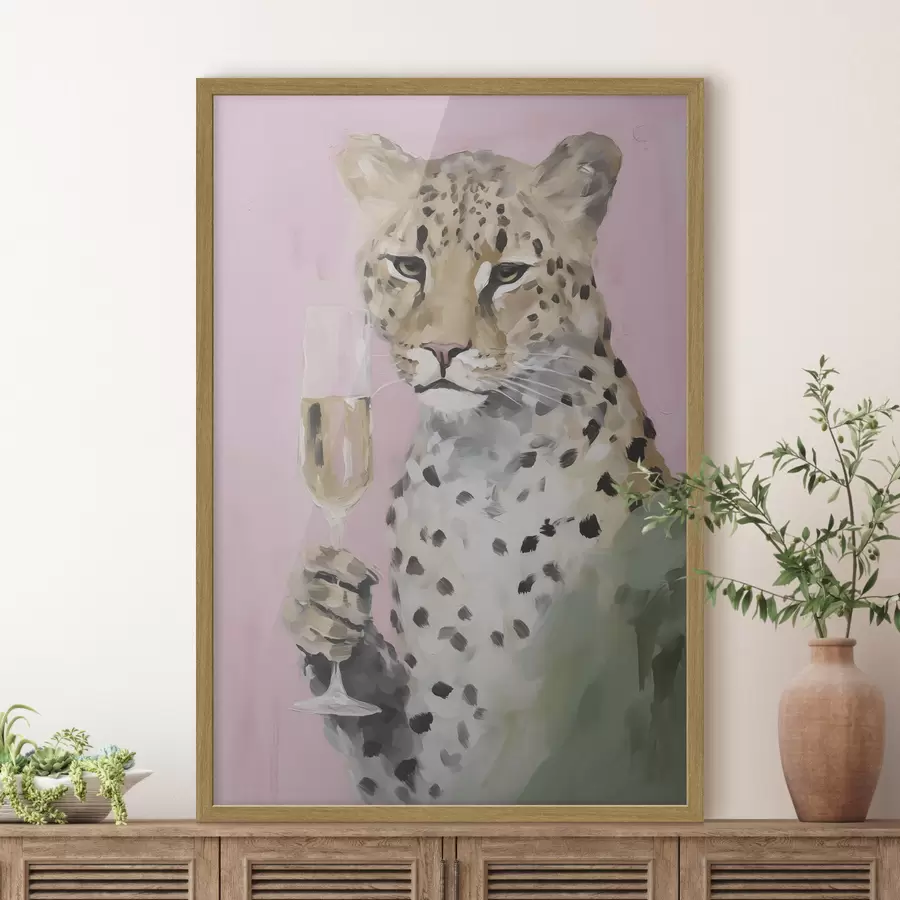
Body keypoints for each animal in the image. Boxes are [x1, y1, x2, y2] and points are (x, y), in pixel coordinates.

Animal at [281, 132, 687, 805]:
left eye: (507, 272)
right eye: (409, 266)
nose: (443, 350)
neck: (480, 464)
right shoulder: (428, 757)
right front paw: (322, 610)